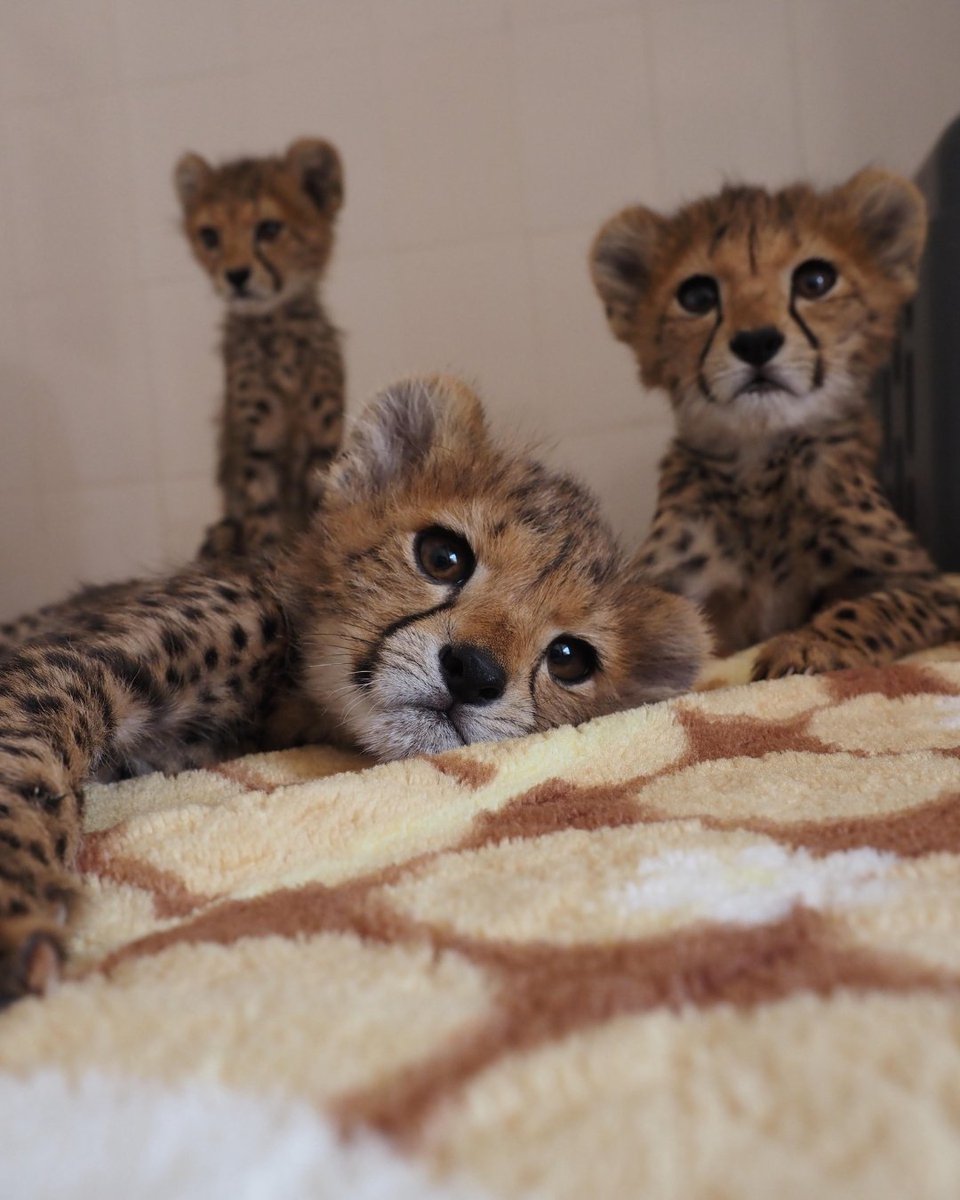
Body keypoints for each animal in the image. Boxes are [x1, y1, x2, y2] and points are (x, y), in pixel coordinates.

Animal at [0, 375, 709, 1005]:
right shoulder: (65, 667)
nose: (475, 673)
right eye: (442, 555)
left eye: (568, 658)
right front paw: (16, 914)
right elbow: (24, 764)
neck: (288, 700)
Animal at [174, 137, 346, 560]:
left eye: (269, 228)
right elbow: (261, 512)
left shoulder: (322, 444)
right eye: (210, 236)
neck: (277, 327)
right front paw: (263, 558)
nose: (236, 276)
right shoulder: (256, 443)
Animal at [590, 167, 960, 679]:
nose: (757, 341)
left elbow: (881, 605)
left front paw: (809, 645)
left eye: (816, 280)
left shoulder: (930, 584)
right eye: (697, 296)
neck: (759, 466)